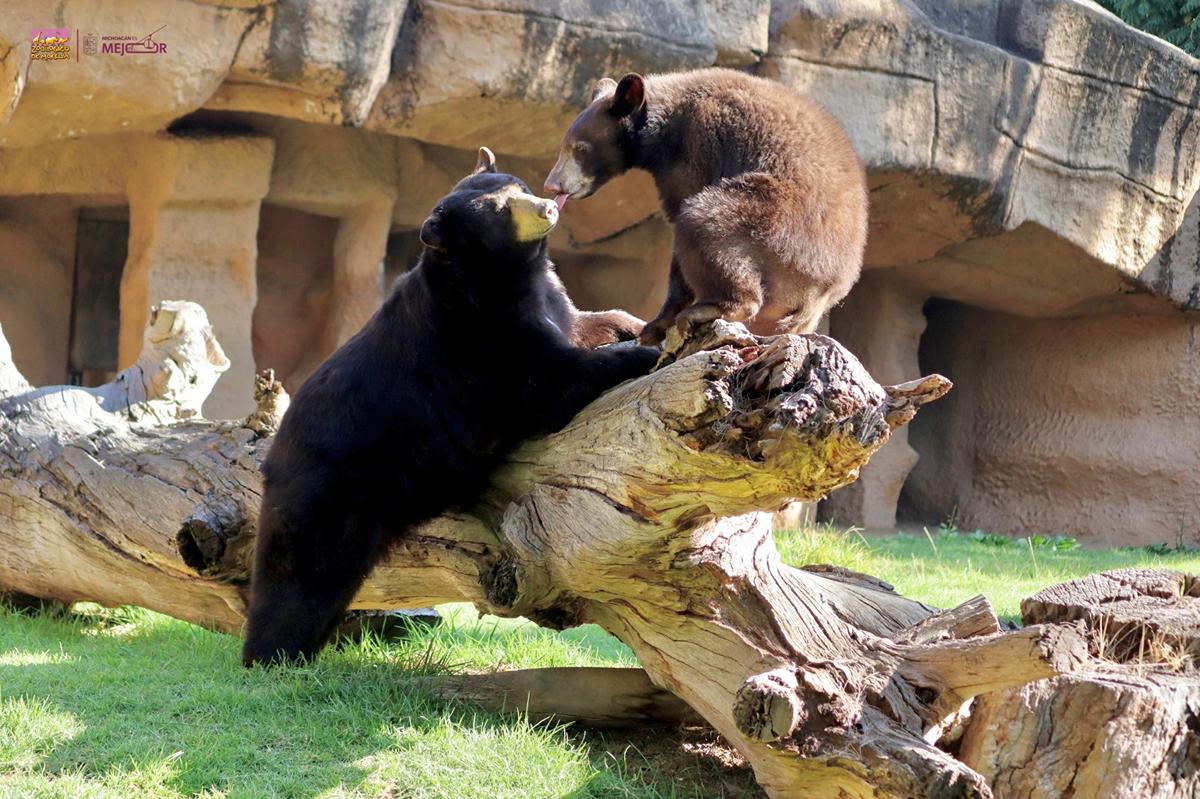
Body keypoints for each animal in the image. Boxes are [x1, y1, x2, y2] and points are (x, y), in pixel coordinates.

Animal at [542, 66, 864, 340]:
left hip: (778, 229)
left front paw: (656, 323)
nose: (552, 184)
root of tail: (824, 291)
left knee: (706, 221)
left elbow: (682, 210)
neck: (663, 131)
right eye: (563, 146)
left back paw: (708, 309)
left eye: (580, 148)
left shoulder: (697, 146)